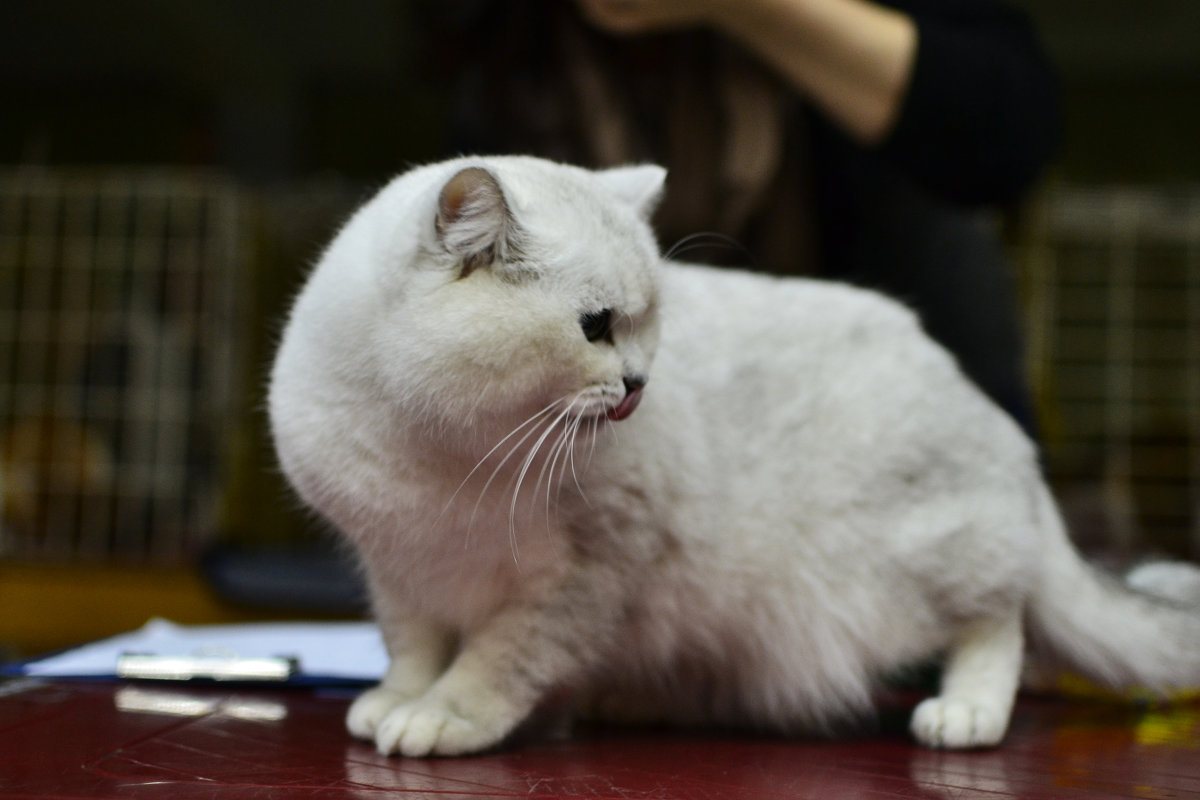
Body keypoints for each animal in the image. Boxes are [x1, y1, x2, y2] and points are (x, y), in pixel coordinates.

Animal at [270, 155, 1200, 758]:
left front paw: (441, 719)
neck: (444, 456)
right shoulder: (398, 571)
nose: (639, 384)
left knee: (999, 622)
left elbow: (494, 666)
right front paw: (396, 701)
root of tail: (1008, 441)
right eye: (597, 327)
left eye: (648, 325)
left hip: (921, 565)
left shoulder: (573, 581)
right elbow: (413, 651)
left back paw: (964, 715)